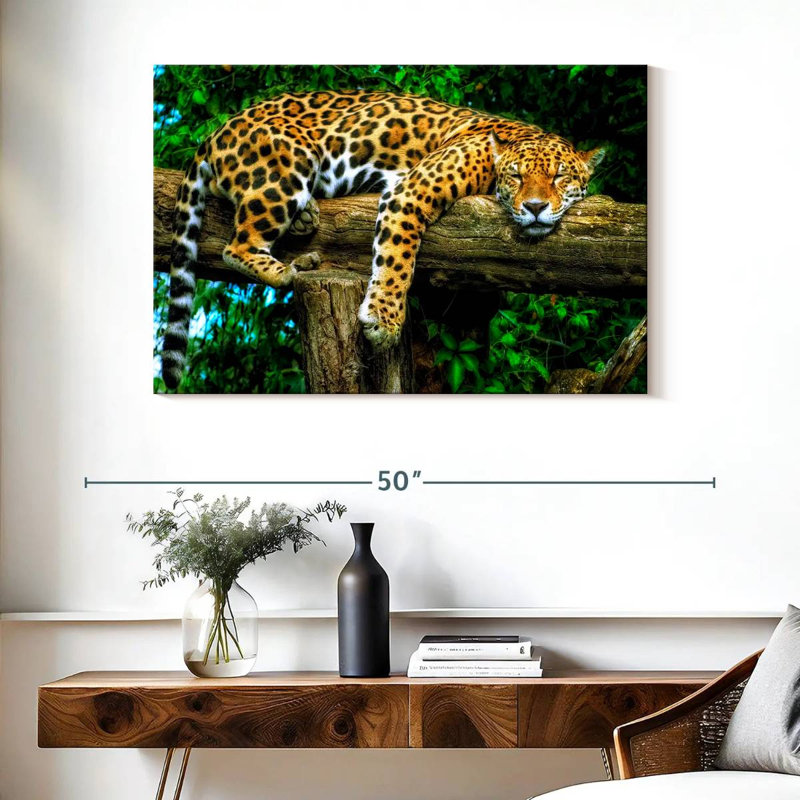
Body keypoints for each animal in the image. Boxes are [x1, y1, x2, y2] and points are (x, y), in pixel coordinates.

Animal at [162, 90, 604, 390]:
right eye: (516, 176)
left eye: (560, 177)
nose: (534, 206)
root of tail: (216, 132)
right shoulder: (411, 191)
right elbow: (397, 261)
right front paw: (384, 320)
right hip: (285, 167)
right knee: (236, 246)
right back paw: (290, 270)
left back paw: (305, 228)